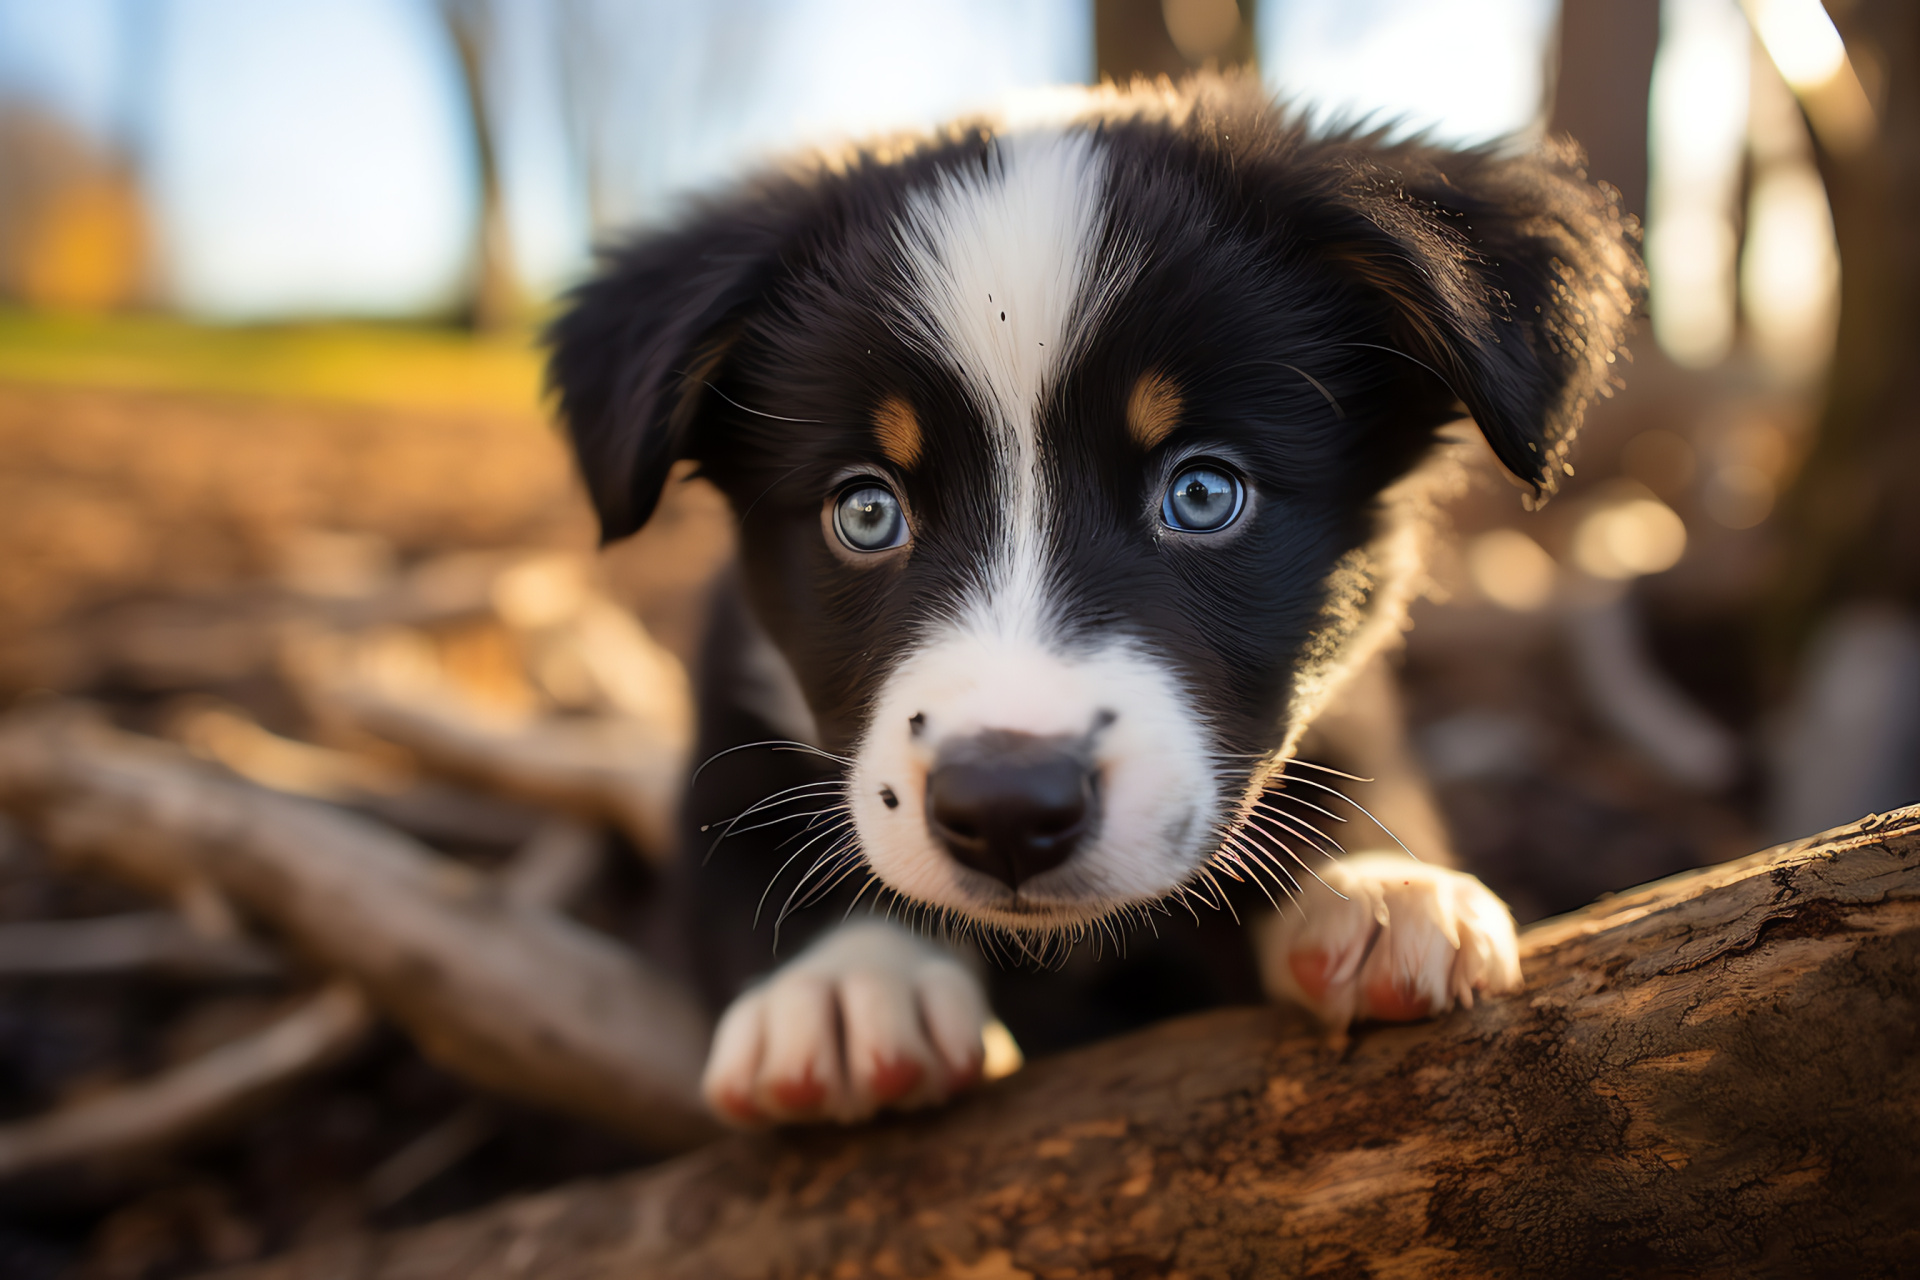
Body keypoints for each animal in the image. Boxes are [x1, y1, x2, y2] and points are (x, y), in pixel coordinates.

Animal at [549, 75, 1643, 1128]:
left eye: (1203, 494)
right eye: (864, 511)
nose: (1005, 807)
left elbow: (1345, 756)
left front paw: (1376, 890)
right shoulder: (732, 692)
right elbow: (745, 837)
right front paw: (841, 986)